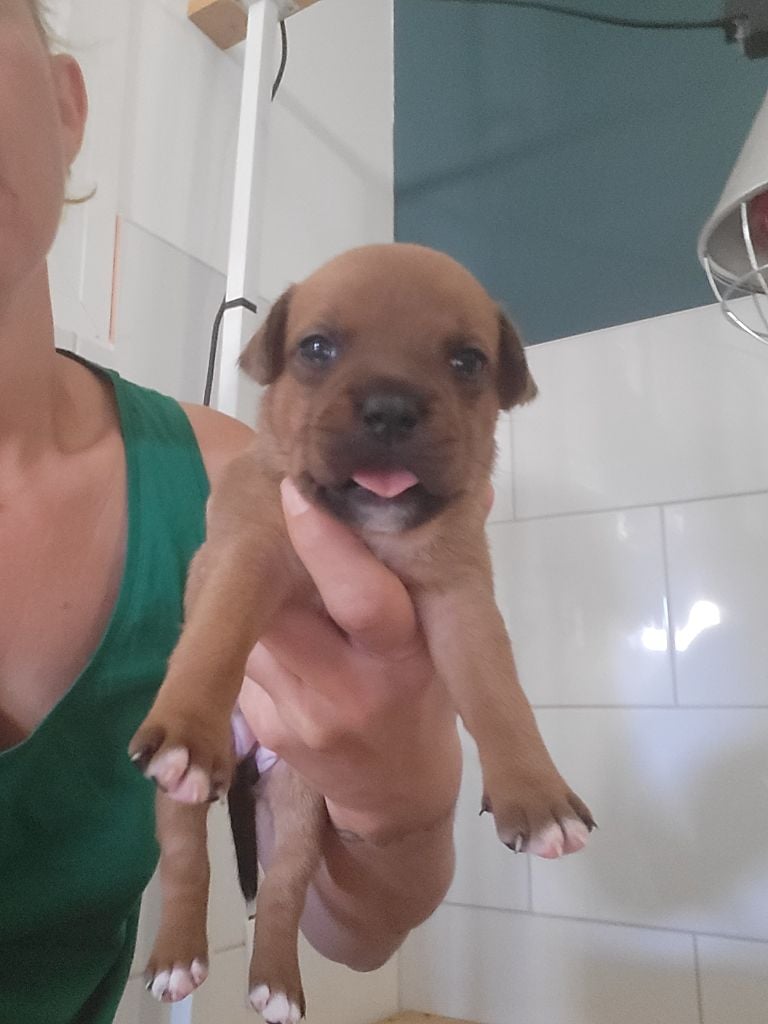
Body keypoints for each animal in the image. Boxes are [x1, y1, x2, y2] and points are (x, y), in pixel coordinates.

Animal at [129, 243, 595, 1023]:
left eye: (467, 361)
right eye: (317, 348)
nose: (391, 408)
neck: (366, 530)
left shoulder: (461, 599)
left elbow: (499, 696)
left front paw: (536, 794)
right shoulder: (247, 553)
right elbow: (219, 631)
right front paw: (190, 720)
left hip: (299, 805)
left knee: (284, 889)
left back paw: (276, 983)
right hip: (189, 805)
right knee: (186, 857)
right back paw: (177, 958)